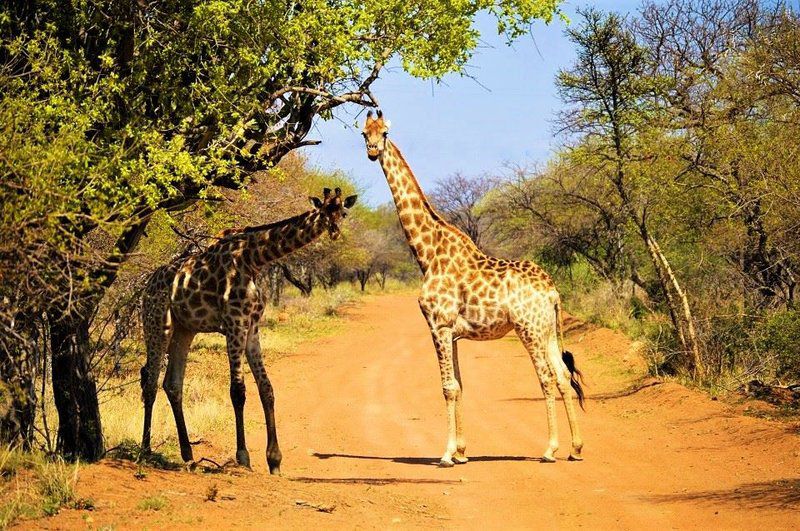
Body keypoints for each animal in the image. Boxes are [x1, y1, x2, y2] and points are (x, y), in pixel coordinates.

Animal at [141, 187, 356, 474]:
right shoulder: (235, 323)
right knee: (150, 381)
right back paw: (145, 450)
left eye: (343, 212)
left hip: (185, 330)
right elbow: (238, 391)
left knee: (172, 384)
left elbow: (266, 388)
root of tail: (147, 286)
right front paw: (243, 456)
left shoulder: (253, 326)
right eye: (323, 211)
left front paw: (274, 460)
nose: (334, 232)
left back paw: (187, 454)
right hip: (157, 324)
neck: (254, 259)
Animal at [360, 112, 580, 466]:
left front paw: (447, 455)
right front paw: (462, 452)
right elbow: (460, 385)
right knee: (562, 375)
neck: (427, 254)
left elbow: (448, 387)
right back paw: (576, 447)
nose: (372, 151)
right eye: (363, 132)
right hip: (547, 331)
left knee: (546, 377)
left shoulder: (437, 325)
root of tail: (552, 291)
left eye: (385, 133)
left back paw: (550, 450)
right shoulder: (453, 332)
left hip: (529, 329)